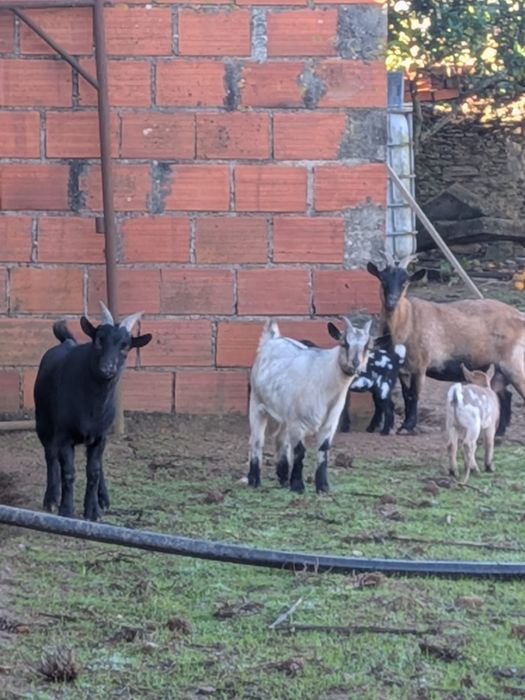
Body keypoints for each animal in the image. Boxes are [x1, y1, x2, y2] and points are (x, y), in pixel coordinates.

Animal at [34, 302, 152, 521]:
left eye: (125, 346)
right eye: (99, 340)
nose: (107, 369)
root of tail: (66, 342)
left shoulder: (100, 436)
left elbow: (94, 472)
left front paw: (93, 510)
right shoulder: (64, 435)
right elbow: (68, 472)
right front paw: (66, 509)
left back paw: (103, 497)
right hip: (43, 423)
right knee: (50, 456)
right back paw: (52, 498)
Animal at [248, 317, 372, 494]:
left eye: (367, 346)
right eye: (344, 343)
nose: (355, 363)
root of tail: (271, 340)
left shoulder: (329, 423)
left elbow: (323, 449)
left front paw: (323, 486)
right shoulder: (298, 422)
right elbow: (300, 451)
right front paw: (298, 485)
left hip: (286, 414)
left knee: (280, 438)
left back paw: (283, 477)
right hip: (257, 403)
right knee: (257, 439)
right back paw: (254, 479)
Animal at [367, 256, 523, 436]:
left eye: (404, 282)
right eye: (382, 279)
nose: (391, 302)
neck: (407, 320)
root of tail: (521, 316)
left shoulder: (420, 365)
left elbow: (414, 395)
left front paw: (407, 426)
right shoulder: (403, 369)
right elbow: (406, 395)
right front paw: (404, 425)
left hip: (514, 363)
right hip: (499, 369)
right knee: (504, 394)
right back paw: (499, 432)